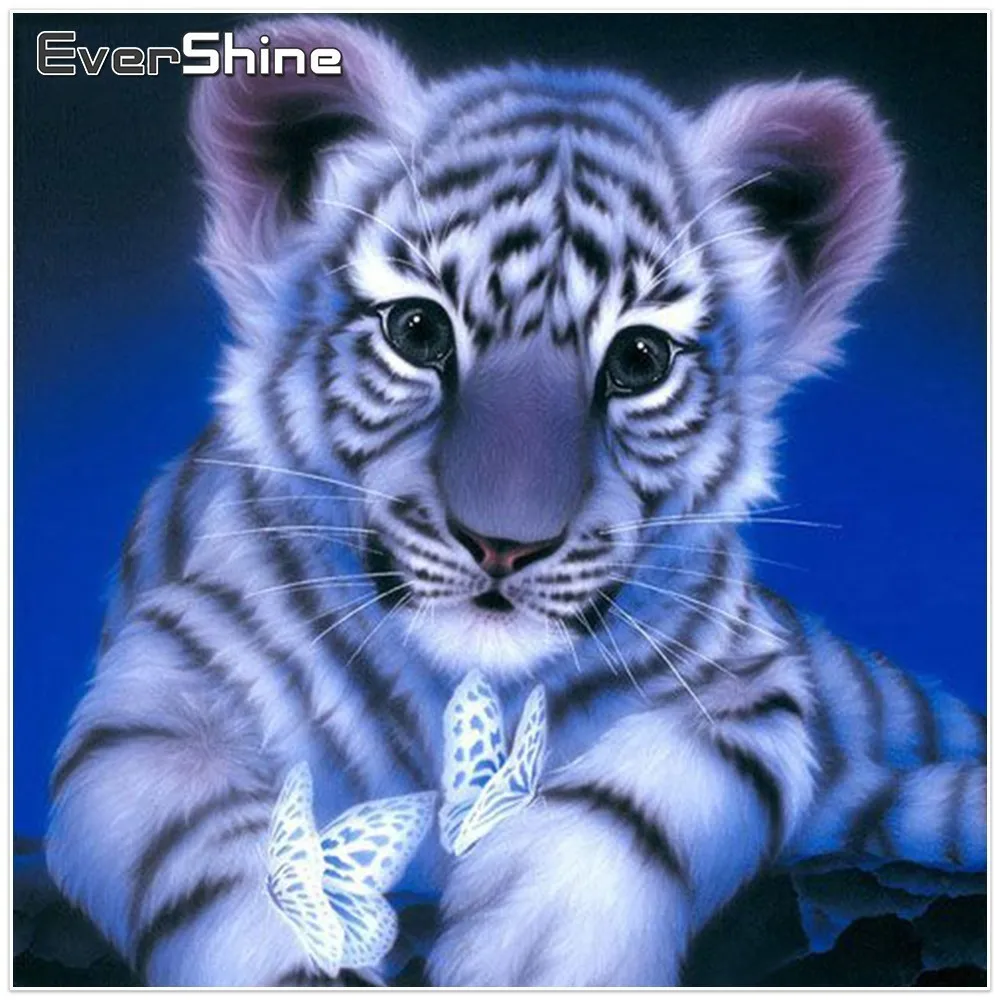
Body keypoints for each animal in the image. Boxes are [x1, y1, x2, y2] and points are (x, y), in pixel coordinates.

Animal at [45, 15, 986, 987]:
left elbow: (645, 795)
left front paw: (536, 952)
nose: (504, 545)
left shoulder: (751, 681)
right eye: (417, 330)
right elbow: (232, 860)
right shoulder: (158, 700)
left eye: (640, 359)